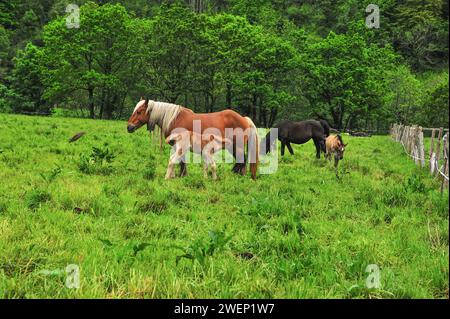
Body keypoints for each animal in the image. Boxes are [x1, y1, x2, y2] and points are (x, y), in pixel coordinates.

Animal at [127, 99, 260, 180]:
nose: (129, 127)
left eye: (139, 111)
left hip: (236, 147)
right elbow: (180, 161)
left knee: (242, 160)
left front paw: (181, 175)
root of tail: (244, 118)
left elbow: (181, 161)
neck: (174, 118)